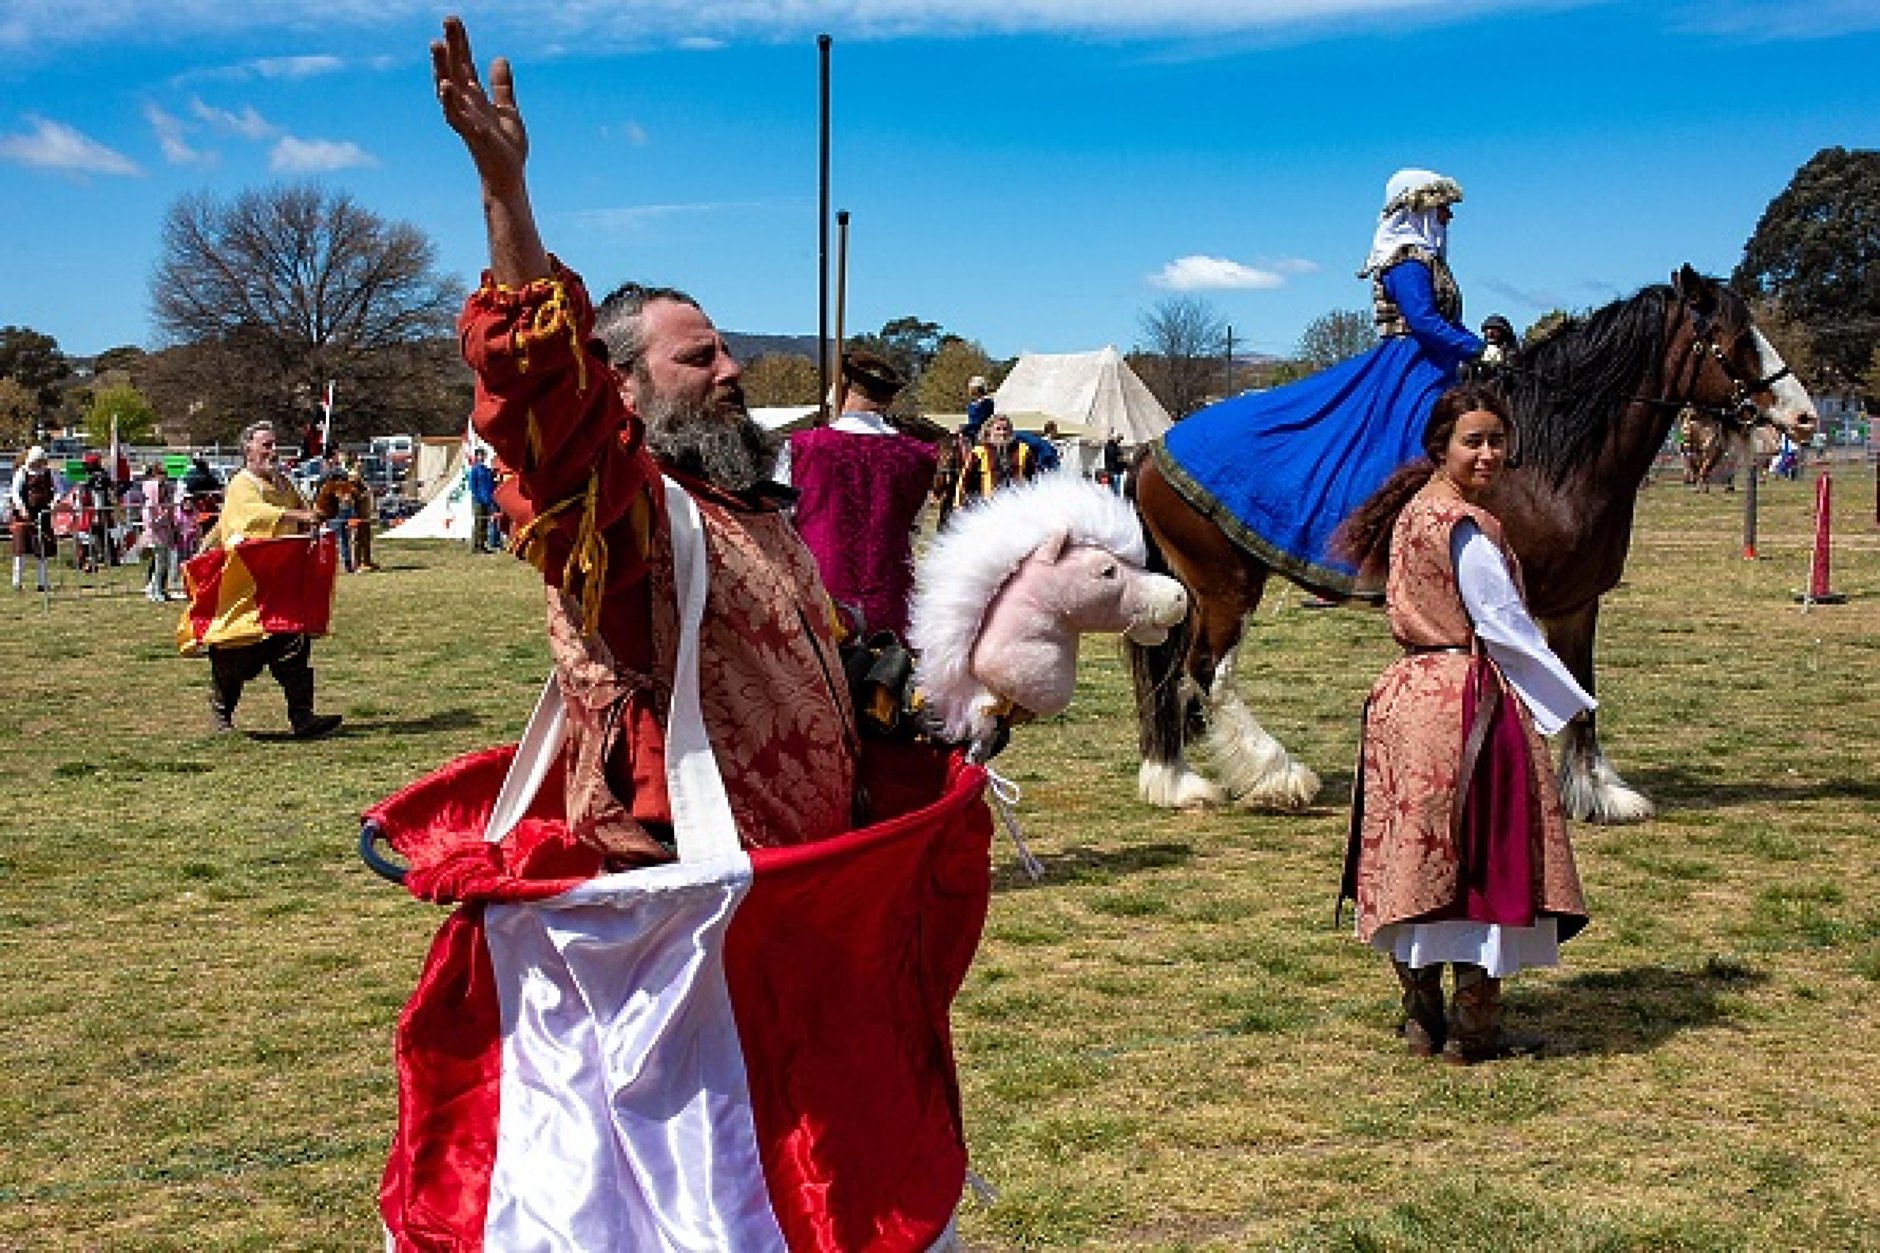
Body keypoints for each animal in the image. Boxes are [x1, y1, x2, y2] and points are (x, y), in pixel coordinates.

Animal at [1120, 265, 1812, 820]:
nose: (1805, 417)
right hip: (1227, 585)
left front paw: (1596, 790)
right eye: (1737, 340)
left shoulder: (1575, 601)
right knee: (1205, 672)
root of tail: (1151, 448)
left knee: (1173, 676)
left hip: (1196, 589)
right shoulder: (1512, 602)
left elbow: (1581, 688)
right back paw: (1275, 775)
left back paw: (1175, 780)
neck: (1548, 459)